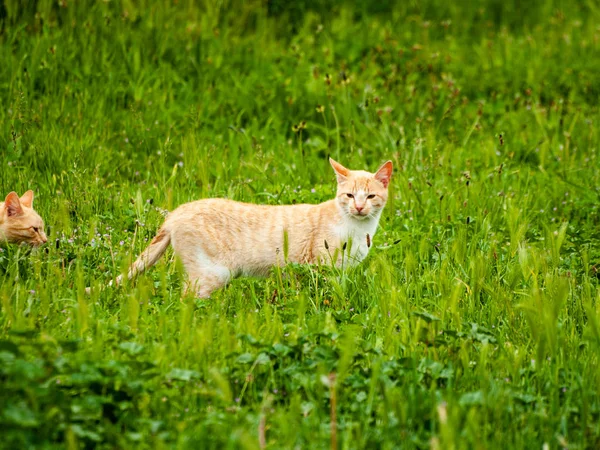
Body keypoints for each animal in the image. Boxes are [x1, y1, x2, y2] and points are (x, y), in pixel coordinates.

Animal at [95, 159, 394, 298]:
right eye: (349, 196)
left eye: (369, 197)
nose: (358, 207)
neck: (358, 229)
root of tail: (177, 211)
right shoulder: (322, 267)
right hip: (212, 275)